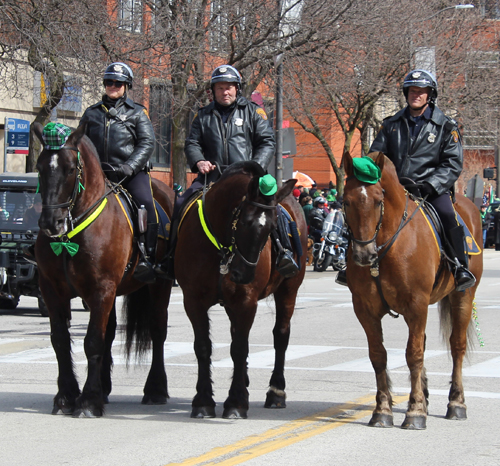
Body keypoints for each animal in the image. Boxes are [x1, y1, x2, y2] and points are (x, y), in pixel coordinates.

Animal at [31, 122, 176, 416]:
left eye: (70, 168)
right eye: (40, 167)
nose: (51, 222)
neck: (71, 234)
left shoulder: (101, 289)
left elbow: (92, 341)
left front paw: (87, 401)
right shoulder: (52, 291)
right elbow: (61, 340)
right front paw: (66, 396)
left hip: (159, 286)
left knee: (157, 330)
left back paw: (155, 389)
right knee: (110, 333)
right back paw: (104, 388)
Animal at [176, 160, 308, 418]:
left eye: (272, 227)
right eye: (245, 222)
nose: (243, 274)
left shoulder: (246, 301)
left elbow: (239, 348)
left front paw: (236, 402)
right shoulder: (193, 300)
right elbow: (203, 347)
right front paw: (203, 401)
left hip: (289, 290)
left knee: (281, 335)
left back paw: (276, 392)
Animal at [342, 152, 482, 430]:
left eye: (378, 200)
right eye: (346, 201)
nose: (364, 254)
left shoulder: (416, 304)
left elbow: (413, 354)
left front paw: (415, 411)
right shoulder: (364, 309)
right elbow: (378, 355)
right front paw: (383, 410)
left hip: (462, 297)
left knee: (457, 345)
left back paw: (456, 403)